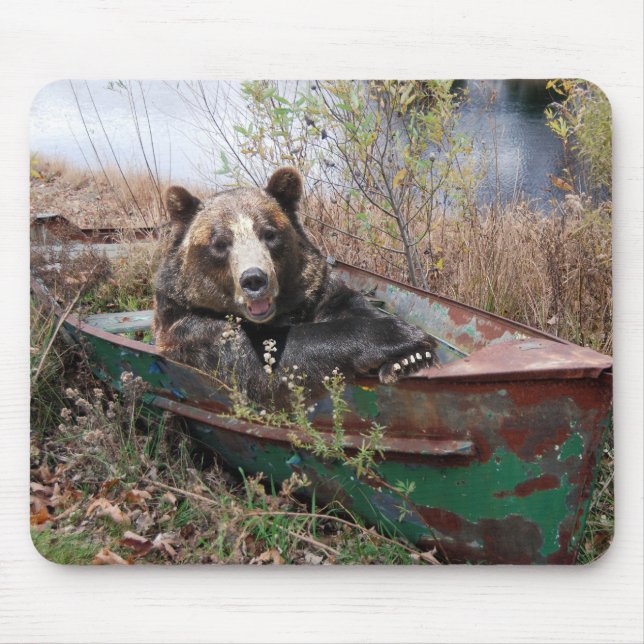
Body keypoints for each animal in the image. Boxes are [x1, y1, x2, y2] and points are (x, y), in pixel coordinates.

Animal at [153, 167, 437, 408]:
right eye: (220, 243)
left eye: (269, 233)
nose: (254, 279)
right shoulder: (193, 330)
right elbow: (266, 362)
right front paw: (399, 336)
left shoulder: (317, 291)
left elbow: (352, 305)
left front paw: (409, 358)